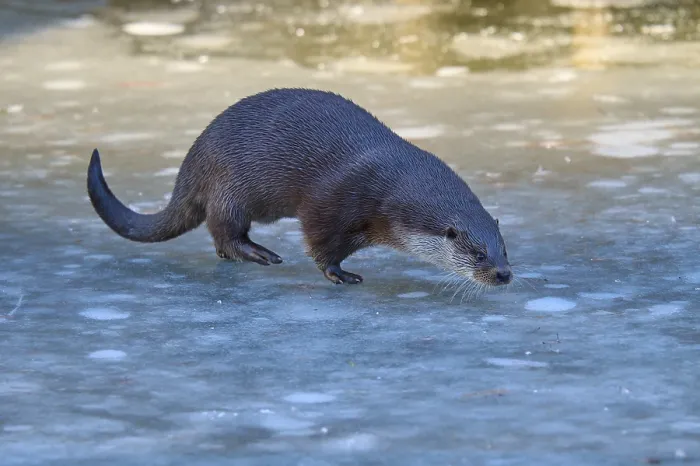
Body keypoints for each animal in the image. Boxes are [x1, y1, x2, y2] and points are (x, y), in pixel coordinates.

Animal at [87, 88, 512, 287]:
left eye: (504, 249)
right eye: (478, 254)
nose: (504, 274)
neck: (391, 184)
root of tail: (193, 158)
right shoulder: (334, 199)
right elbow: (321, 243)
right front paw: (340, 274)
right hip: (229, 187)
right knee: (224, 230)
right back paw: (259, 253)